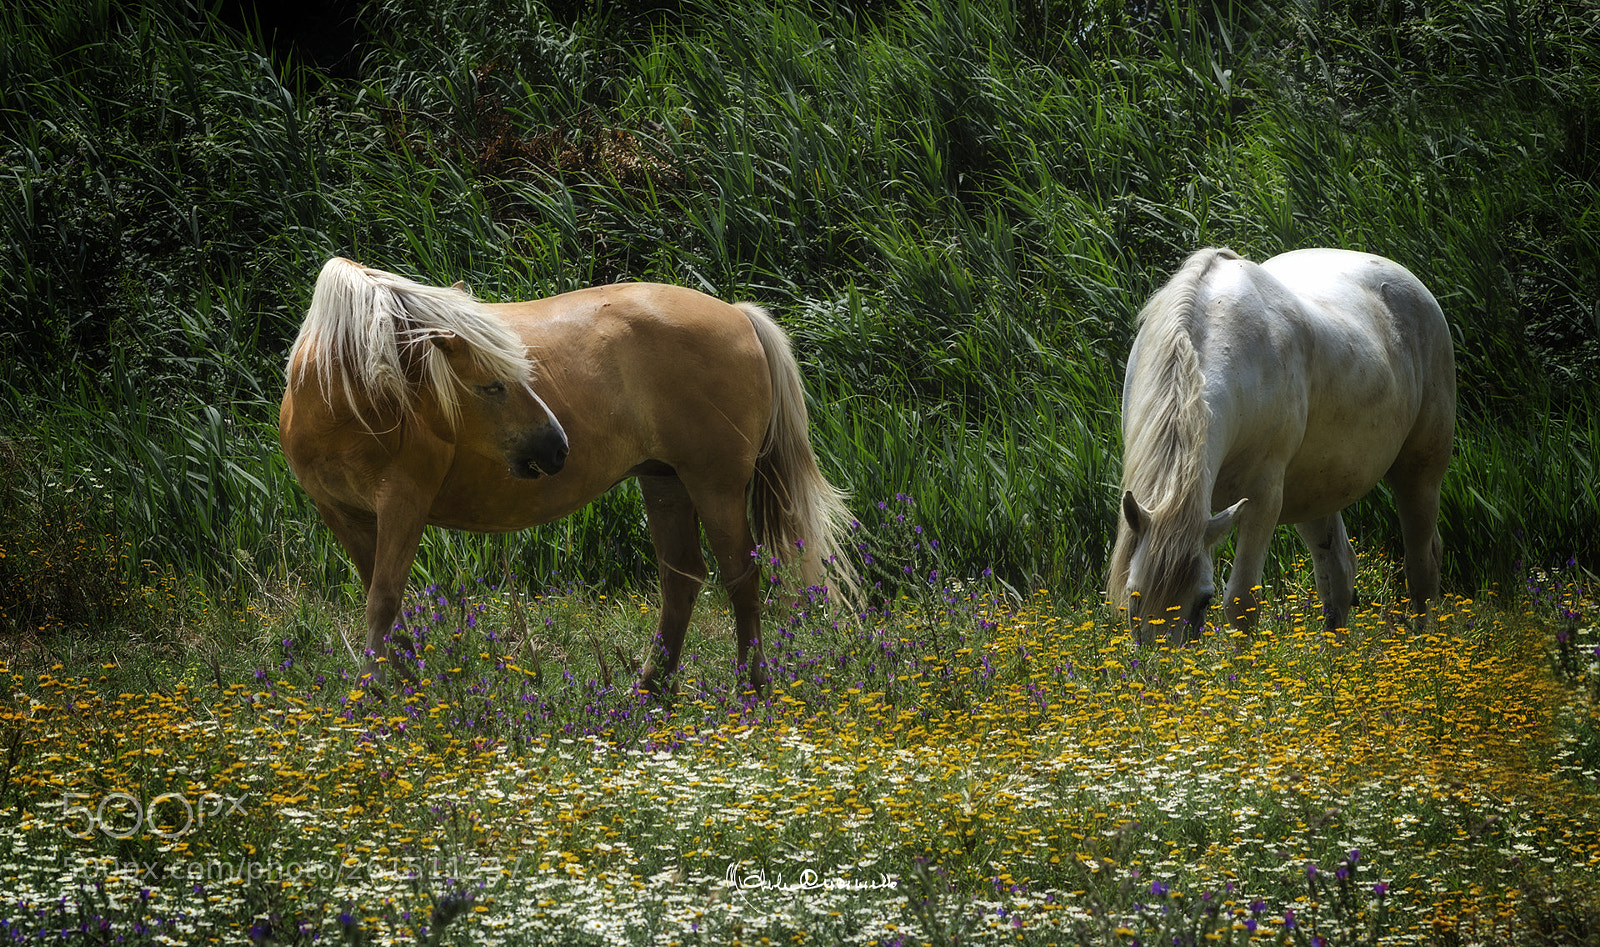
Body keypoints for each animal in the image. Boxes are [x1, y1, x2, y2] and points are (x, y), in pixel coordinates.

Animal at [279, 257, 857, 692]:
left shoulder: (403, 503)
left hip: (715, 485)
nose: (557, 448)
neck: (346, 402)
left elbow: (383, 600)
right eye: (491, 385)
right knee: (682, 578)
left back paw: (750, 688)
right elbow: (384, 601)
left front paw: (377, 694)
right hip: (665, 481)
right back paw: (650, 689)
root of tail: (737, 316)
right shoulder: (345, 514)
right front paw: (405, 686)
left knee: (740, 577)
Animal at [1108, 247, 1456, 646]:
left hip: (1419, 476)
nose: (1158, 663)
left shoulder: (1262, 499)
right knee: (1339, 569)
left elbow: (1241, 603)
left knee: (1421, 568)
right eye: (1133, 596)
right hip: (1315, 493)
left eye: (1203, 599)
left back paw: (1422, 647)